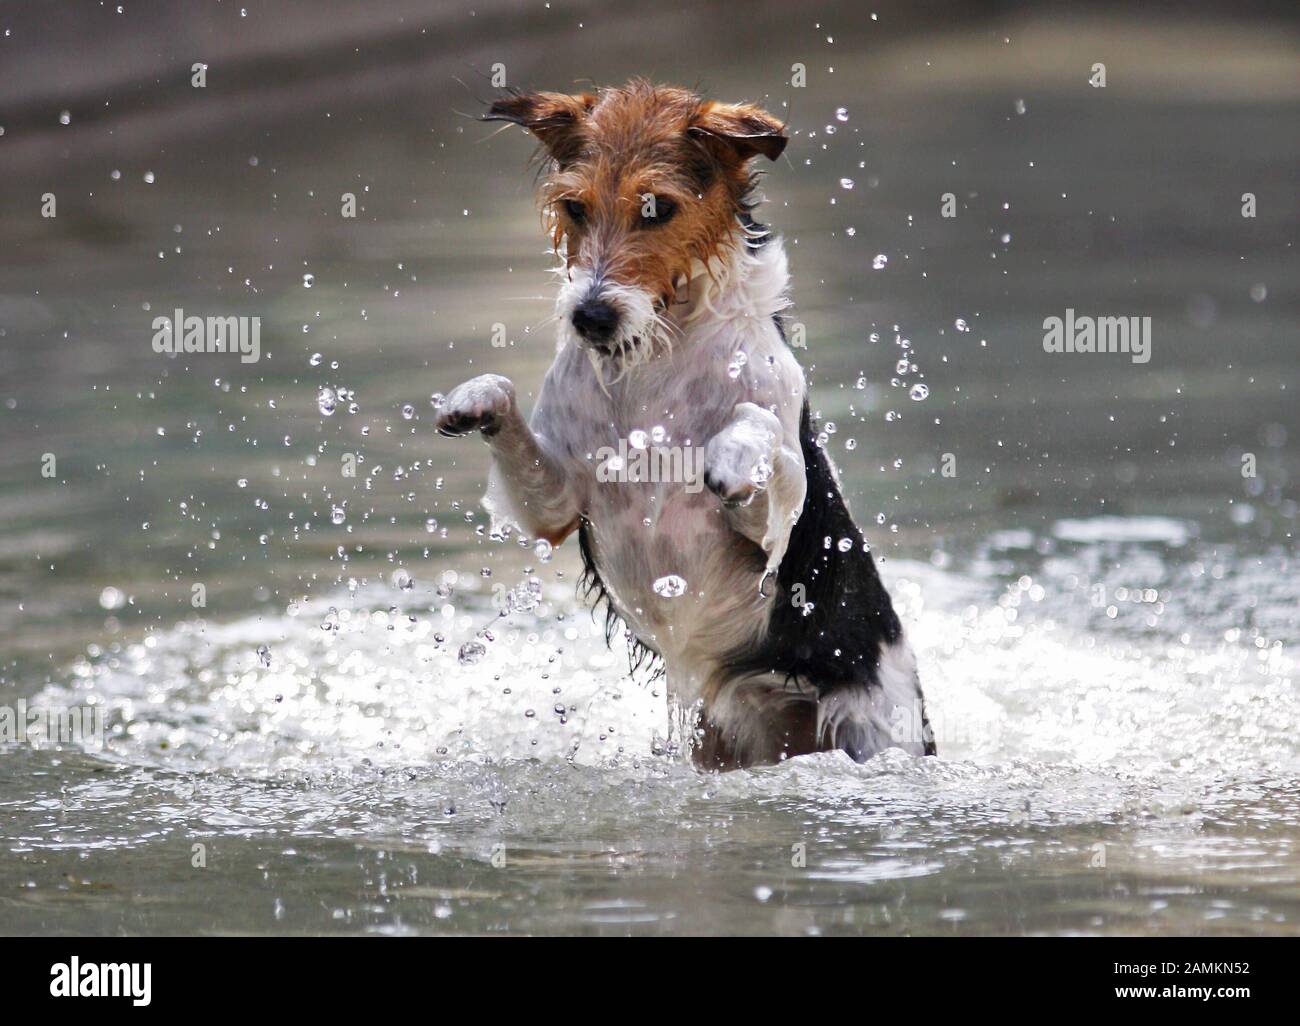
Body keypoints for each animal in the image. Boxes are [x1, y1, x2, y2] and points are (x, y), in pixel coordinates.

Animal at [436, 81, 935, 769]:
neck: (657, 354)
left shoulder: (772, 530)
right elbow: (506, 407)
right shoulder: (554, 508)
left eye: (657, 208)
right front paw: (475, 397)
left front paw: (730, 452)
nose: (590, 317)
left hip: (872, 727)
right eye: (574, 207)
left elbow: (758, 432)